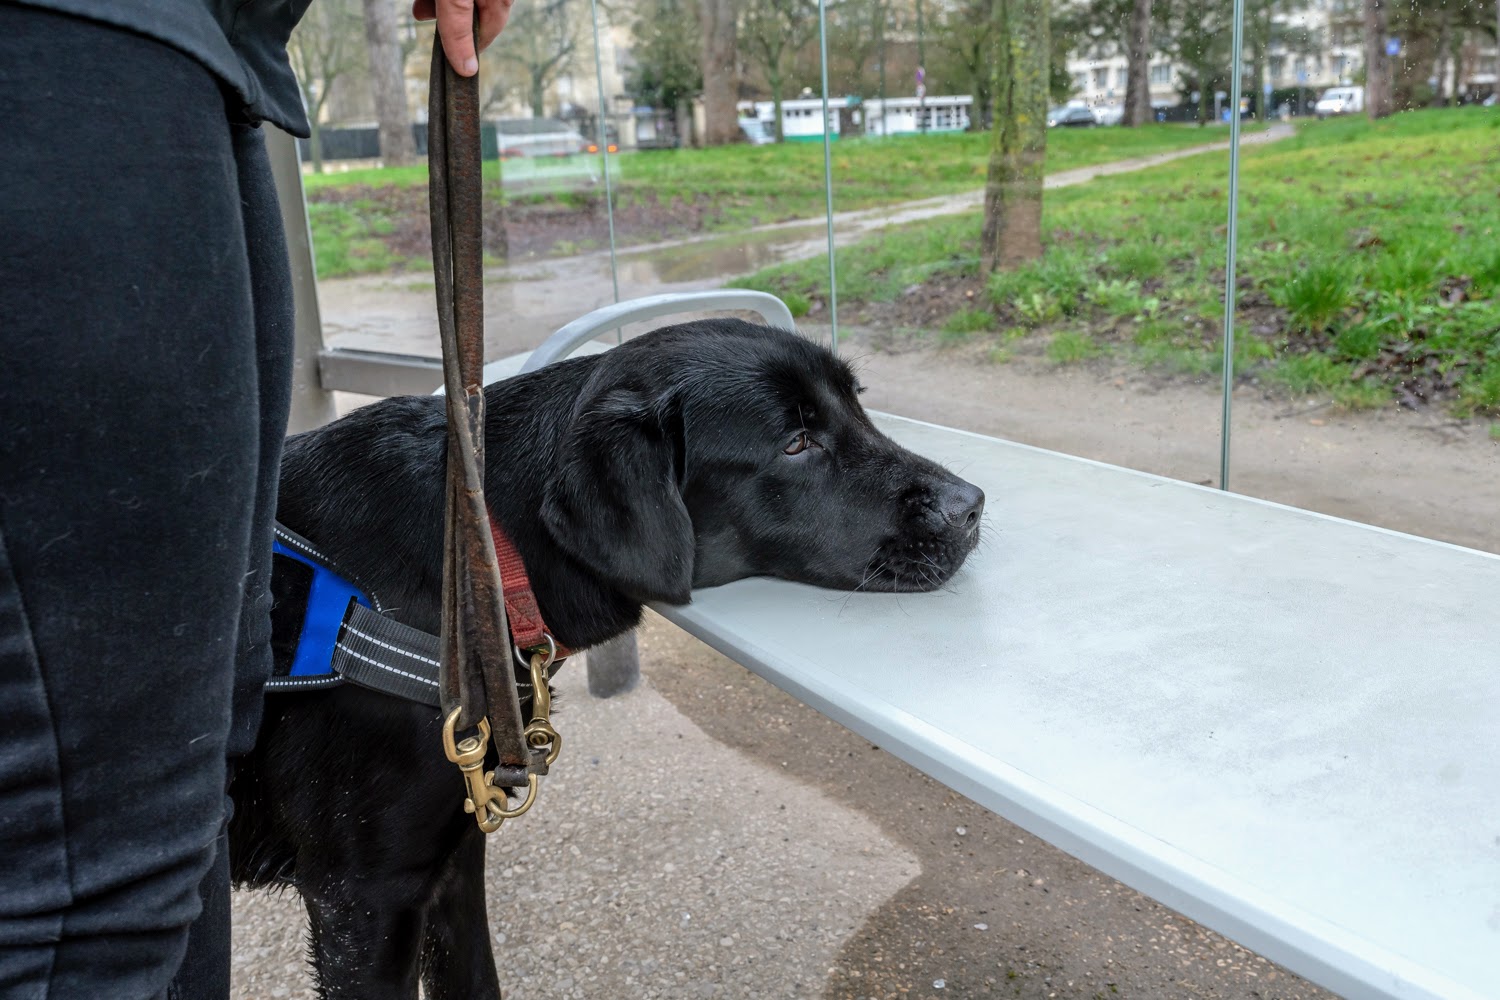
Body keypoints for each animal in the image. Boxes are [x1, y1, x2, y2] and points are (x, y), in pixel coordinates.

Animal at [228, 320, 984, 1000]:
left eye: (855, 406)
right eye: (797, 443)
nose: (972, 505)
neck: (481, 550)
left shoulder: (453, 858)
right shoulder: (363, 898)